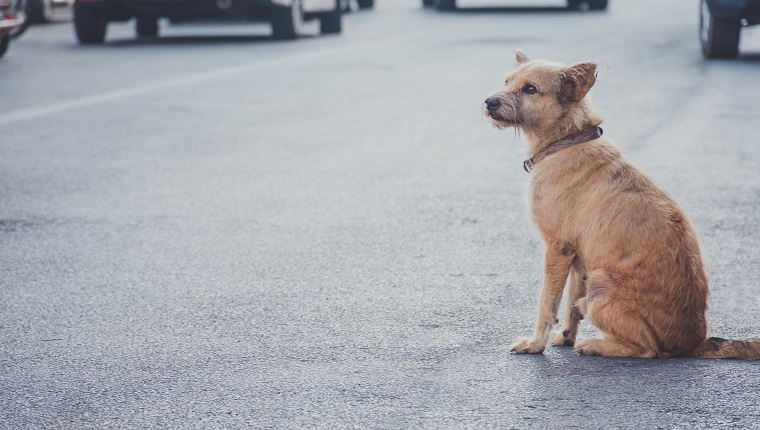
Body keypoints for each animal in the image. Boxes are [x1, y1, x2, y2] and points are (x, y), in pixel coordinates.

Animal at [484, 50, 756, 360]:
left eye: (530, 88)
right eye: (507, 81)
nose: (489, 102)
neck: (567, 140)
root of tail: (694, 342)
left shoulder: (558, 248)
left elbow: (547, 302)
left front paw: (535, 344)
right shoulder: (578, 257)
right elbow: (570, 304)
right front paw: (565, 337)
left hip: (601, 281)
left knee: (647, 349)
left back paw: (596, 345)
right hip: (594, 277)